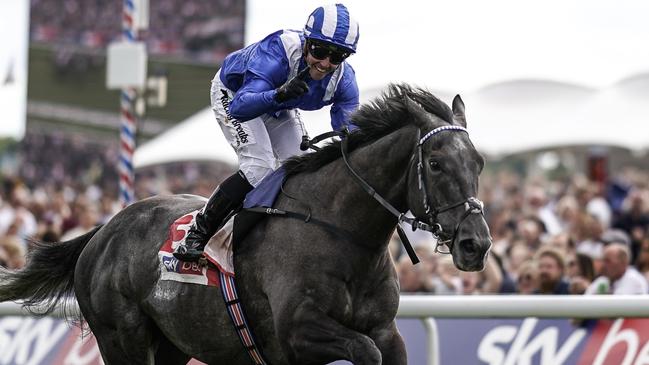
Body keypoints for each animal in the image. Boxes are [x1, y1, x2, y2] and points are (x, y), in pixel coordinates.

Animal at [0, 83, 492, 364]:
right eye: (435, 163)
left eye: (480, 163)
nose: (477, 245)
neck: (342, 233)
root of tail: (102, 232)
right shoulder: (299, 331)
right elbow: (363, 351)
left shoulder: (387, 332)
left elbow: (382, 346)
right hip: (122, 338)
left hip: (173, 345)